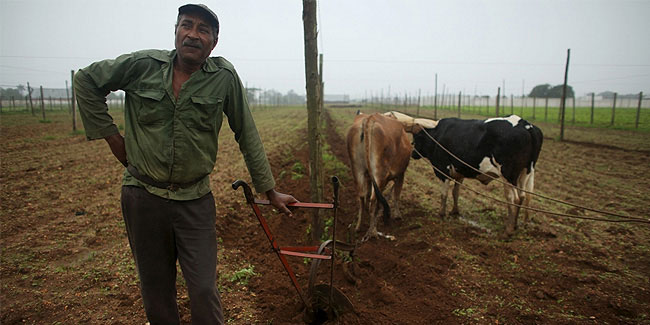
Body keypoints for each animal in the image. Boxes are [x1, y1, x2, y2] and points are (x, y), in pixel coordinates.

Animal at [410, 115, 540, 234]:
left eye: (417, 137)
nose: (412, 152)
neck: (438, 135)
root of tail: (525, 124)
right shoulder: (460, 171)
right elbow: (455, 192)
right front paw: (454, 211)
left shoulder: (443, 170)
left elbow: (444, 193)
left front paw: (441, 213)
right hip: (525, 173)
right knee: (522, 196)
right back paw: (515, 225)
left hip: (508, 175)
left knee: (513, 198)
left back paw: (509, 229)